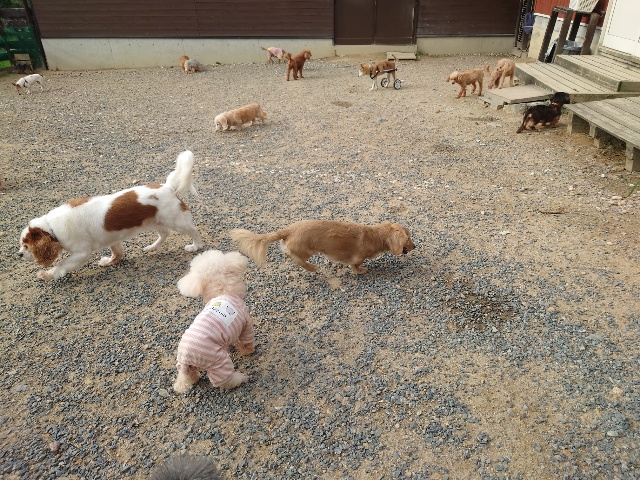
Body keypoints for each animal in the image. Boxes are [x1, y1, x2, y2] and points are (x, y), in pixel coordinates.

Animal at [19, 151, 203, 281]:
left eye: (27, 246)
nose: (19, 255)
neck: (52, 228)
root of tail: (168, 187)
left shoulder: (81, 253)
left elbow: (62, 265)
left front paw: (47, 275)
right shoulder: (113, 239)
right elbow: (117, 253)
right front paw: (109, 262)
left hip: (177, 221)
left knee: (193, 231)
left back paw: (195, 246)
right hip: (155, 221)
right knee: (164, 234)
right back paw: (152, 247)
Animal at [174, 250, 255, 393]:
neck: (222, 291)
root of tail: (186, 356)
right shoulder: (246, 323)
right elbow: (246, 342)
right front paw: (248, 351)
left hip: (186, 367)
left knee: (187, 377)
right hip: (219, 362)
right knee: (224, 381)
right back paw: (240, 378)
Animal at [230, 220, 415, 274]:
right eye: (408, 238)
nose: (415, 246)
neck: (375, 236)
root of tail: (289, 230)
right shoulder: (357, 258)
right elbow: (356, 266)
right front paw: (361, 271)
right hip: (305, 251)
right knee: (296, 259)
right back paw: (312, 268)